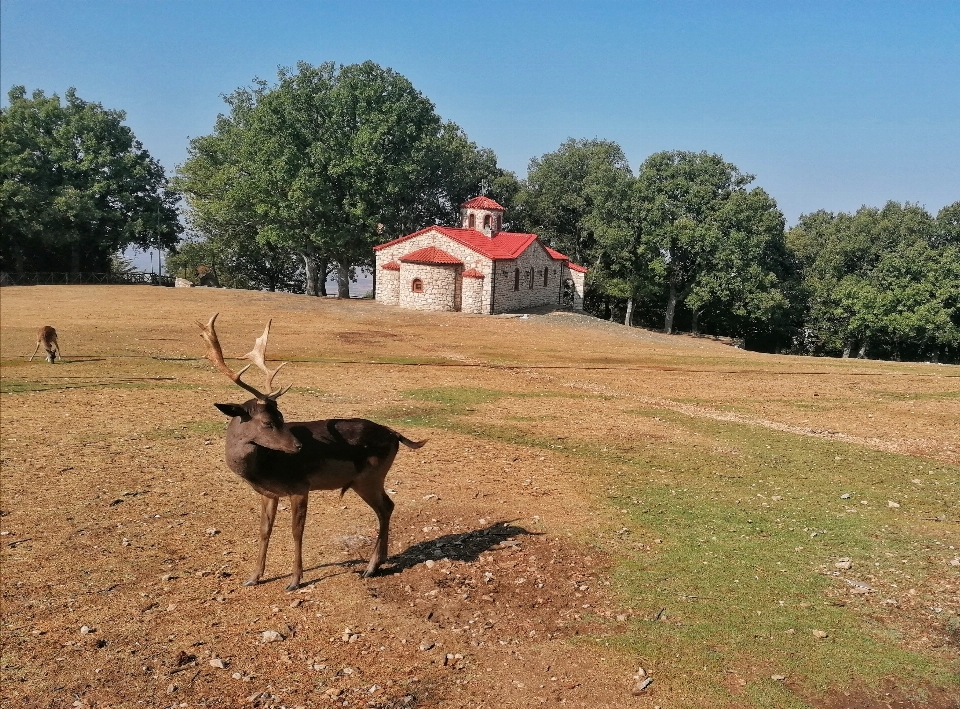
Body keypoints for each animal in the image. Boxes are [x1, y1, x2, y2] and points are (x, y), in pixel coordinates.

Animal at [197, 312, 426, 588]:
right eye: (268, 422)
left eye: (282, 417)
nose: (298, 446)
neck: (262, 468)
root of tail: (395, 434)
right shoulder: (268, 493)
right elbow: (264, 530)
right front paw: (253, 577)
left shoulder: (299, 485)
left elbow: (297, 531)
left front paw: (295, 580)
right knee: (388, 506)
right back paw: (377, 563)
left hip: (370, 477)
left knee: (385, 508)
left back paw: (371, 567)